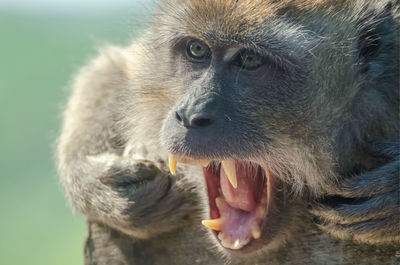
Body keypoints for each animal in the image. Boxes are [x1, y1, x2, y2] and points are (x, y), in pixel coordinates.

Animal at [57, 0, 400, 264]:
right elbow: (118, 65)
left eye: (249, 60)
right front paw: (96, 182)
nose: (190, 115)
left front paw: (393, 191)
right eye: (197, 49)